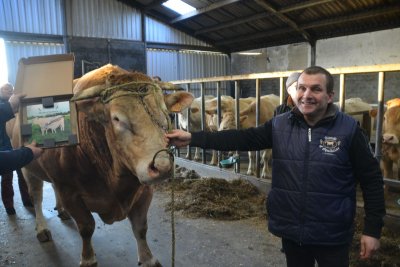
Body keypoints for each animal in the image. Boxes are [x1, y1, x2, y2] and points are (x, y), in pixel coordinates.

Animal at [11, 64, 194, 267]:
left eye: (167, 114)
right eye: (116, 119)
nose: (162, 166)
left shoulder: (145, 189)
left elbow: (140, 227)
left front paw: (148, 259)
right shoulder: (69, 191)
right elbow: (86, 227)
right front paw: (88, 258)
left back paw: (62, 211)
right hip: (28, 168)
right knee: (36, 196)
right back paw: (42, 228)